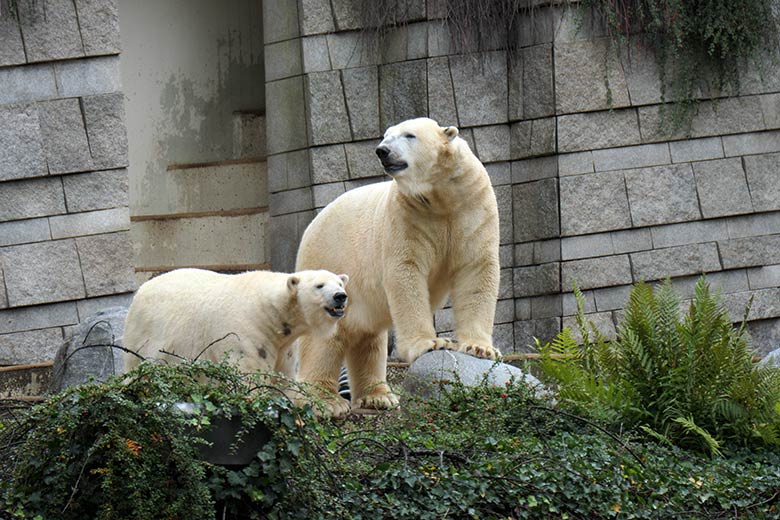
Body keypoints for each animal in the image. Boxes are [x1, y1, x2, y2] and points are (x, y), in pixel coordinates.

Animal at [123, 268, 348, 378]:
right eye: (319, 285)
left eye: (340, 283)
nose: (340, 296)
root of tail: (141, 290)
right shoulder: (245, 333)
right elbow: (249, 374)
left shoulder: (284, 345)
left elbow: (282, 374)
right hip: (146, 334)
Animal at [292, 116, 500, 416]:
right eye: (385, 135)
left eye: (409, 135)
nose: (382, 151)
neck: (441, 196)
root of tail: (311, 225)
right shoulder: (407, 216)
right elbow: (406, 273)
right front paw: (431, 343)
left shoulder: (472, 206)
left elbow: (477, 269)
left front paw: (481, 348)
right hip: (329, 261)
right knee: (325, 337)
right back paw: (324, 401)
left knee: (368, 338)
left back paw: (378, 396)